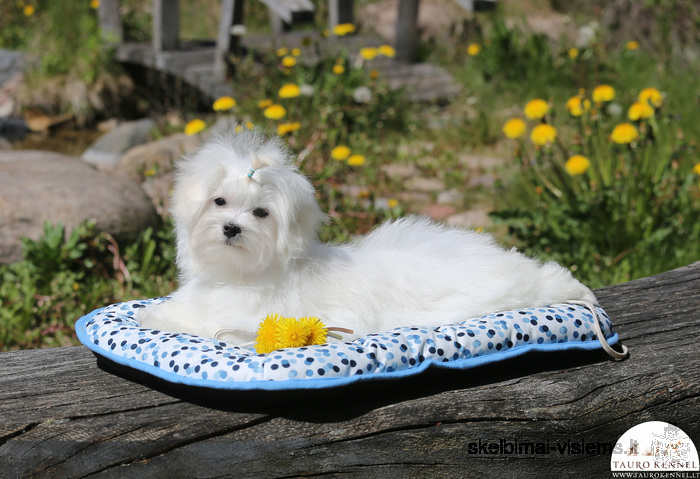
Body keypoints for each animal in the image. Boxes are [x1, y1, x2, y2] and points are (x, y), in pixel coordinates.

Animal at [137, 129, 596, 344]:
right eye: (219, 201)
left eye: (260, 213)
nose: (231, 227)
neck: (241, 271)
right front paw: (156, 311)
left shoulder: (250, 319)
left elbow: (199, 321)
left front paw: (156, 317)